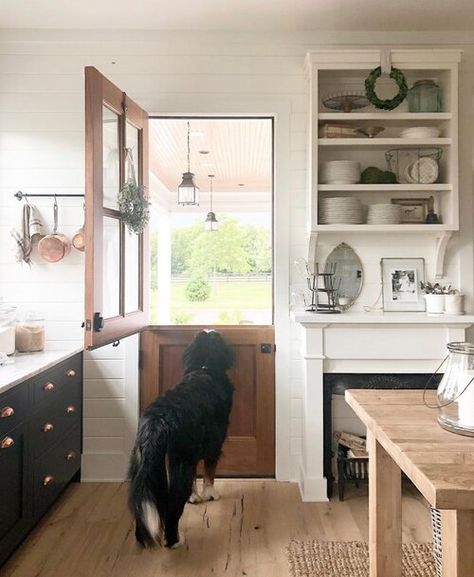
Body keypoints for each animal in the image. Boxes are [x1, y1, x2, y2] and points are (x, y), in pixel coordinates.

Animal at [129, 330, 234, 548]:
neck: (204, 366)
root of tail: (158, 421)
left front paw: (195, 496)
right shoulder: (214, 443)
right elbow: (209, 472)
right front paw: (210, 494)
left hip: (143, 467)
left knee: (140, 505)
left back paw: (142, 539)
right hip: (178, 465)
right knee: (172, 509)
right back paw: (174, 541)